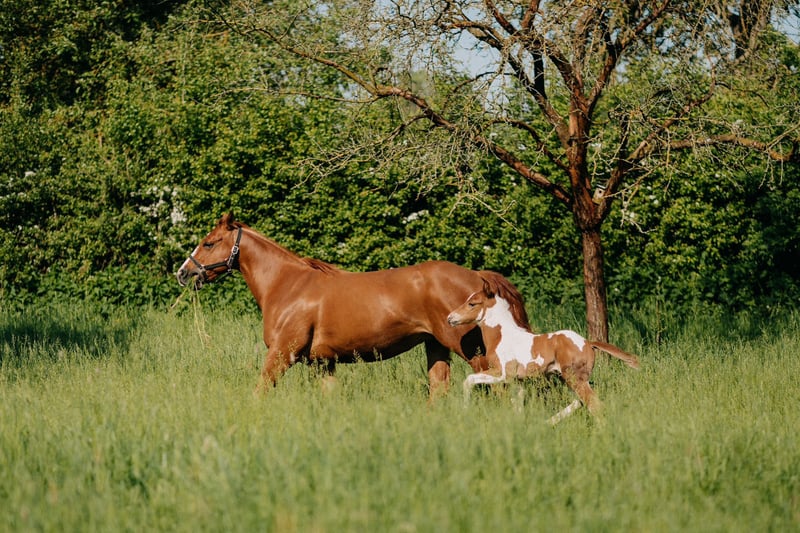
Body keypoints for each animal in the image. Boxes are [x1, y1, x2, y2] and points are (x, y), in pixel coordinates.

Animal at [176, 213, 529, 398]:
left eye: (209, 243)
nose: (184, 272)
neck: (287, 285)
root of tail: (477, 277)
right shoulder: (322, 363)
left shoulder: (281, 354)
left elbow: (260, 390)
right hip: (437, 346)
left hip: (471, 351)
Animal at [446, 276, 639, 424]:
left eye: (472, 304)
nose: (450, 318)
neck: (502, 336)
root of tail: (587, 342)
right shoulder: (519, 381)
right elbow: (517, 405)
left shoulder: (501, 373)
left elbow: (469, 380)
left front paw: (464, 410)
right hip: (568, 378)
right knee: (580, 401)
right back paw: (549, 423)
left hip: (574, 378)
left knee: (594, 404)